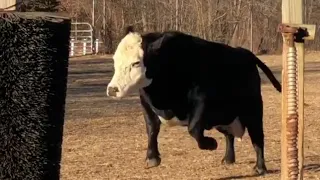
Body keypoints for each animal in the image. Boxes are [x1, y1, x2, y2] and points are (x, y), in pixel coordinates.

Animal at [106, 26, 282, 176]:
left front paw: (211, 144)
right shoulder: (146, 102)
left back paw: (260, 167)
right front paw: (152, 158)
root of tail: (243, 52)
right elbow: (151, 128)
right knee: (229, 135)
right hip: (223, 117)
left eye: (136, 62)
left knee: (258, 138)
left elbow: (193, 128)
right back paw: (228, 159)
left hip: (253, 111)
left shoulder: (201, 103)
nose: (112, 89)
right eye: (114, 59)